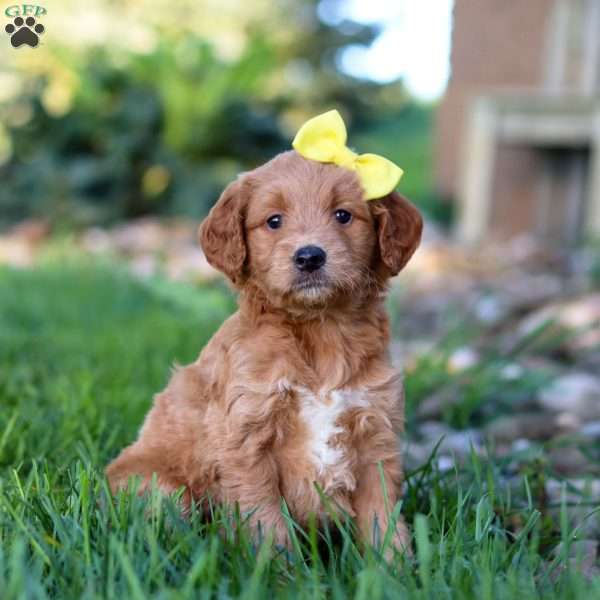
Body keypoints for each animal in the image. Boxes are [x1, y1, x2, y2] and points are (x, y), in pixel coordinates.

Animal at [104, 148, 422, 552]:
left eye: (343, 215)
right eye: (274, 221)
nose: (309, 256)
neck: (319, 332)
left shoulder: (376, 433)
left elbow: (382, 516)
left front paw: (394, 564)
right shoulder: (247, 439)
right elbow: (266, 521)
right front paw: (276, 566)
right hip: (161, 489)